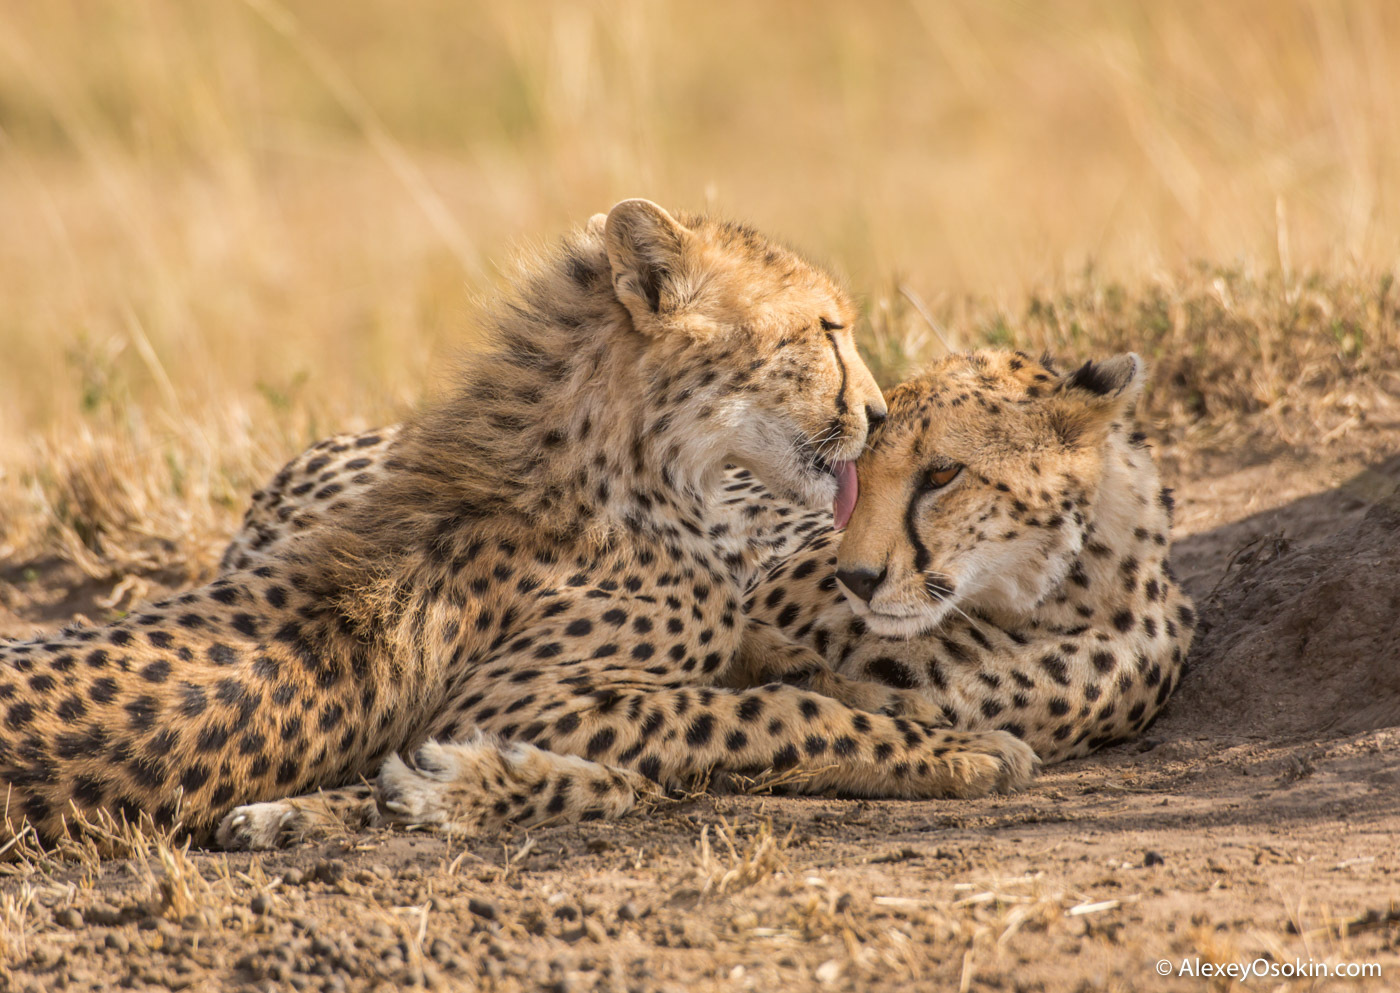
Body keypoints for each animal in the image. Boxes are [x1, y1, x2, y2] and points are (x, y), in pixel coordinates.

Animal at [0, 198, 1036, 845]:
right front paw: (960, 749)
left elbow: (781, 659)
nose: (876, 413)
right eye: (823, 330)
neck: (654, 468)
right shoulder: (509, 703)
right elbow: (765, 709)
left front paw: (912, 704)